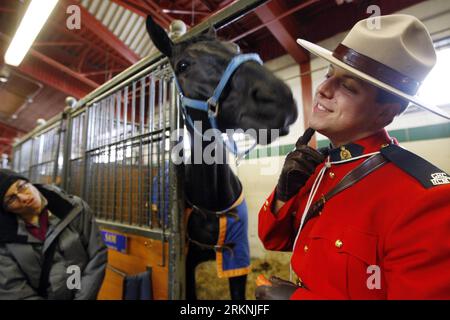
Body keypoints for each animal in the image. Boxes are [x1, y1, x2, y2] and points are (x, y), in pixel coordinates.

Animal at [146, 16, 298, 300]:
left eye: (235, 48)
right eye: (183, 65)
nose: (277, 97)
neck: (211, 201)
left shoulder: (237, 259)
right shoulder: (186, 266)